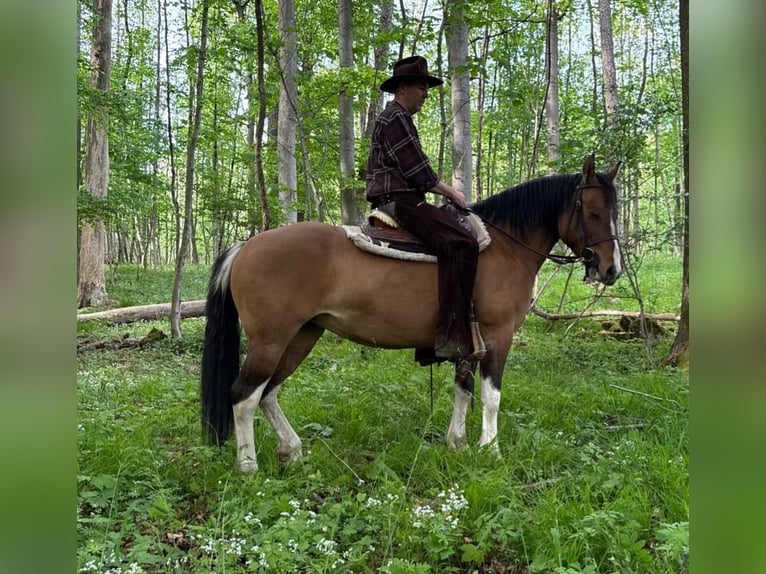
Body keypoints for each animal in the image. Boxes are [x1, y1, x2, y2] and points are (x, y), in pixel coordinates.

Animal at [201, 154, 622, 473]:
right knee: (244, 395)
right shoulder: (498, 335)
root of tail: (245, 247)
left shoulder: (466, 341)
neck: (506, 245)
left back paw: (292, 449)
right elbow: (491, 397)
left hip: (302, 335)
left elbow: (463, 389)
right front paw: (491, 451)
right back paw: (249, 466)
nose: (610, 269)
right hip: (271, 340)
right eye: (593, 212)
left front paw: (457, 444)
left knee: (269, 392)